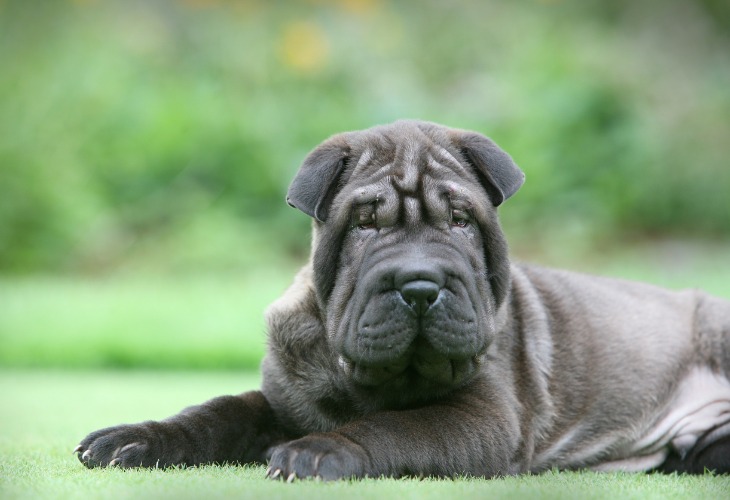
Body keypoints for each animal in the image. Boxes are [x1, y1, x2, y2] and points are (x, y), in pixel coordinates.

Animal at [75, 119, 728, 478]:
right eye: (366, 225)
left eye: (461, 221)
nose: (419, 284)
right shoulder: (281, 398)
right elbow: (217, 411)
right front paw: (137, 437)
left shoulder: (482, 417)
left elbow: (398, 428)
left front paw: (322, 450)